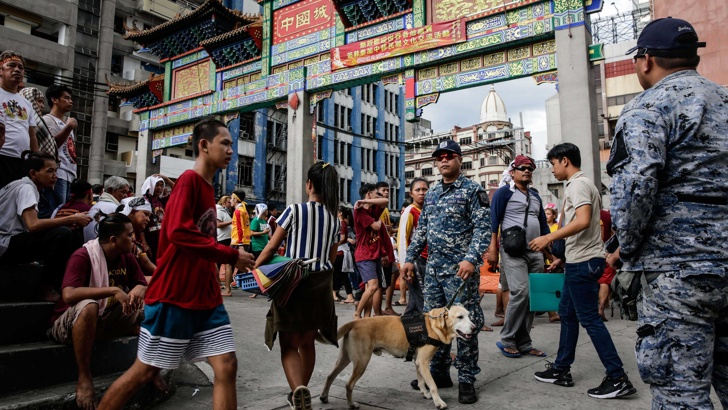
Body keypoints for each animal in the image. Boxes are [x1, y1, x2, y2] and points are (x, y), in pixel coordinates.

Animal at [322, 306, 474, 408]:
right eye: (460, 317)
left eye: (469, 316)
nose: (475, 327)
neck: (433, 326)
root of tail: (355, 322)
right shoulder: (423, 362)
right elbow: (433, 385)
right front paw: (439, 402)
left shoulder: (418, 362)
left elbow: (421, 381)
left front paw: (425, 393)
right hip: (362, 362)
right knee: (348, 385)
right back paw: (351, 404)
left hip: (344, 358)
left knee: (330, 376)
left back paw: (324, 397)